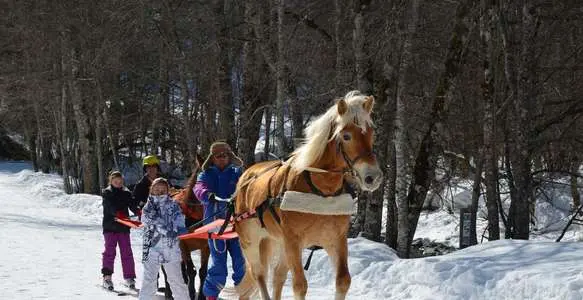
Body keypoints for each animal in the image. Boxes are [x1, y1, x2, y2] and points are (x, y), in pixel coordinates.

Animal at [233, 91, 384, 300]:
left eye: (371, 133)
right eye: (346, 136)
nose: (372, 177)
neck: (321, 192)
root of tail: (247, 176)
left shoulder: (336, 239)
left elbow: (343, 281)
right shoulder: (293, 241)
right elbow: (300, 286)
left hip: (279, 243)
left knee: (278, 276)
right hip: (251, 242)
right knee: (259, 275)